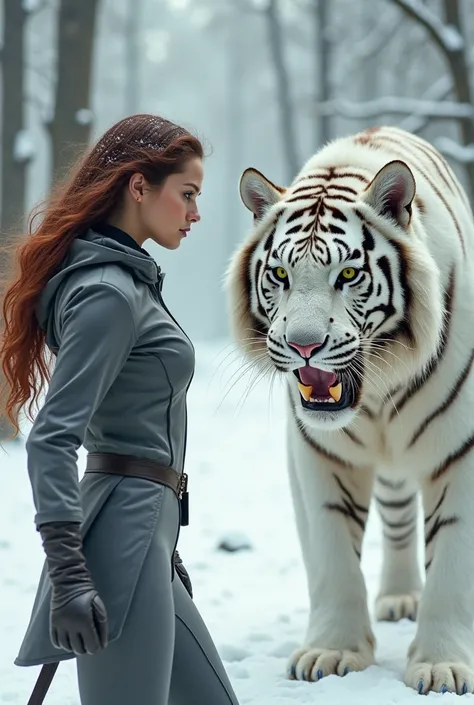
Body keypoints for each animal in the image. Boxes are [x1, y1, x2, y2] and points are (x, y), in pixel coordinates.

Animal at [226, 125, 474, 692]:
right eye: (279, 273)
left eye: (347, 275)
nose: (303, 345)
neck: (377, 397)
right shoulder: (320, 454)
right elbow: (332, 556)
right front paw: (332, 652)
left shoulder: (461, 449)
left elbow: (453, 561)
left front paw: (442, 665)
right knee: (400, 517)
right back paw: (400, 598)